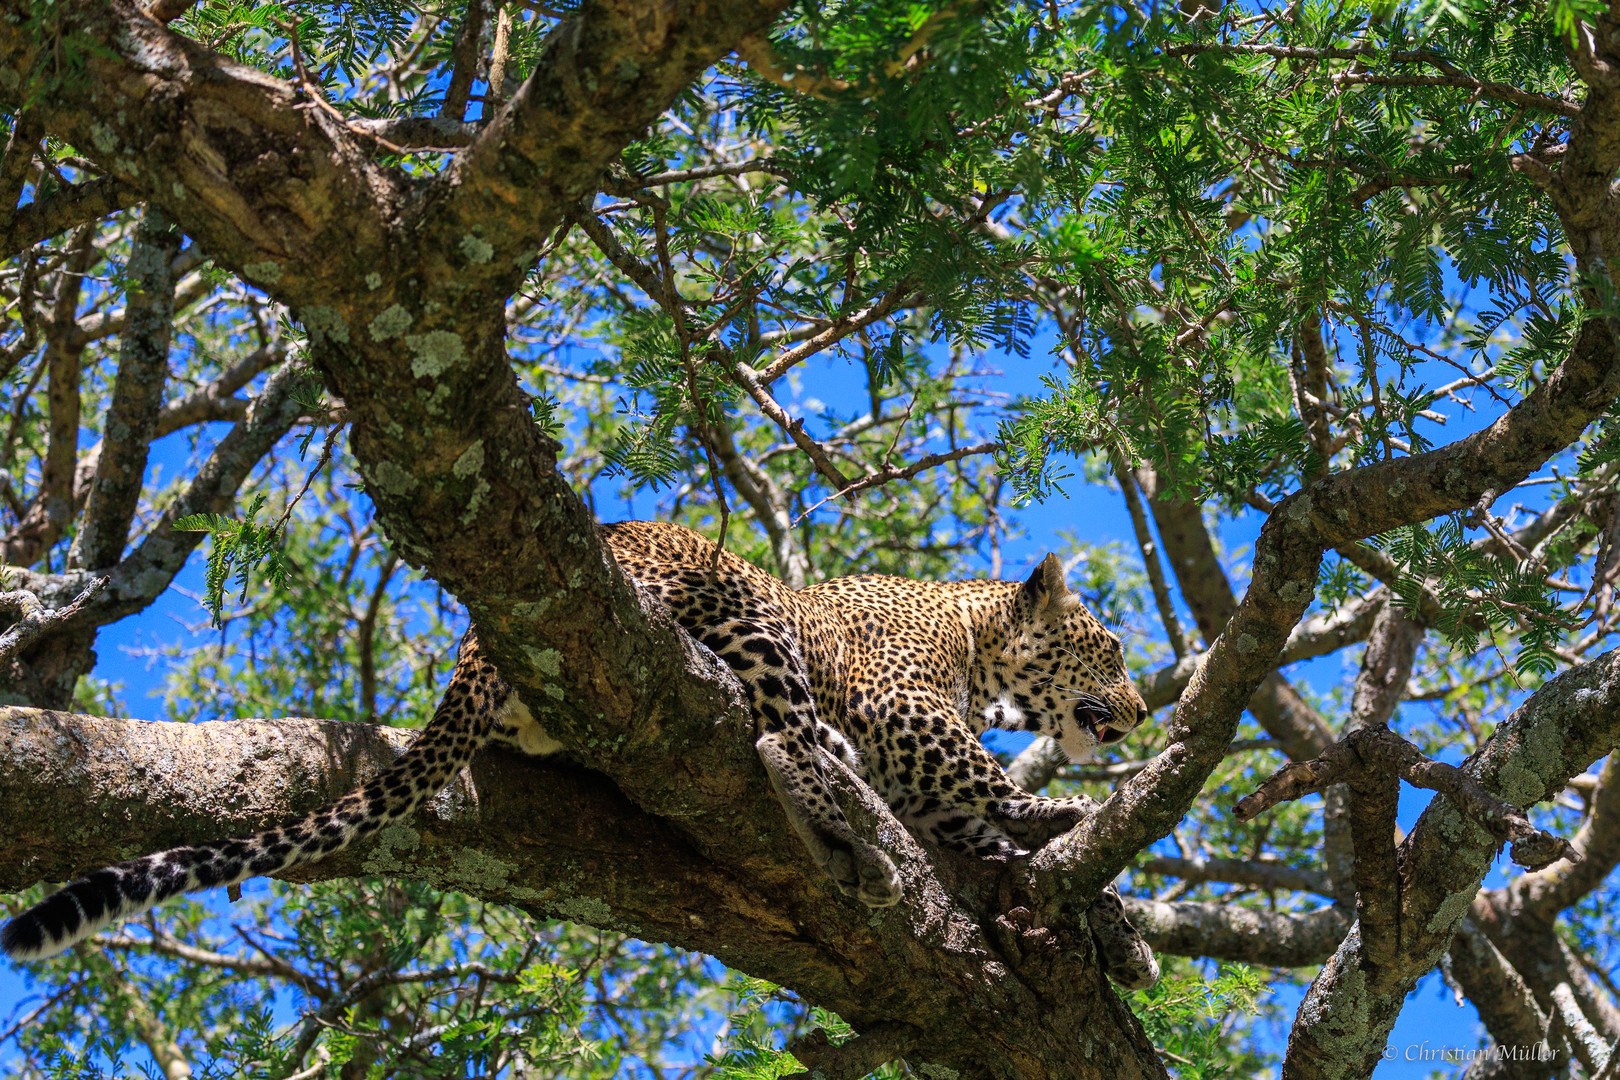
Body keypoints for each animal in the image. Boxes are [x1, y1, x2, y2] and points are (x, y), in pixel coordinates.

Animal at [3, 521, 1166, 990]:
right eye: (1110, 648)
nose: (1142, 711)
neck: (975, 639)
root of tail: (478, 642)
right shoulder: (905, 717)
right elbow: (992, 787)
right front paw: (1078, 826)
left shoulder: (934, 788)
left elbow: (1014, 845)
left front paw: (1120, 935)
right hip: (730, 601)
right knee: (781, 732)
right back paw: (849, 831)